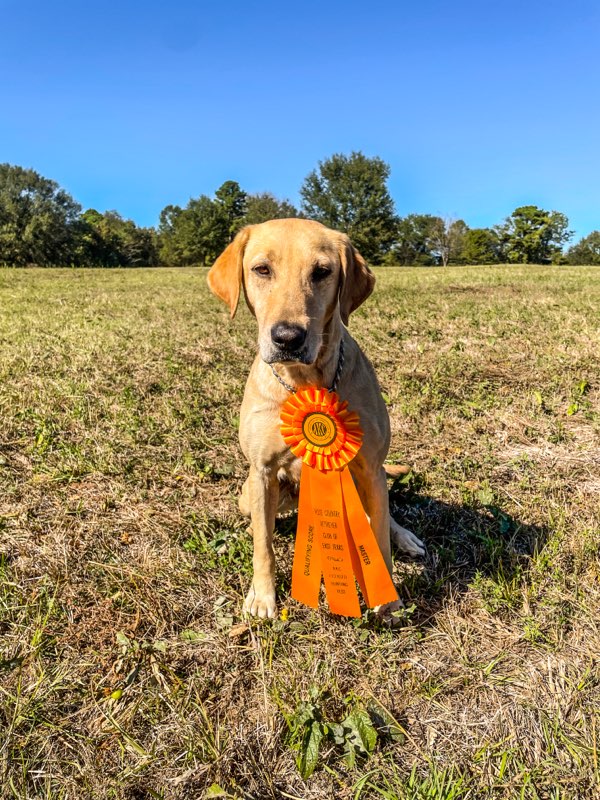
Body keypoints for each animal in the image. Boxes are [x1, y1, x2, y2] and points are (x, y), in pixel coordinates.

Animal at [209, 219, 424, 620]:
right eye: (262, 269)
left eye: (322, 272)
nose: (288, 337)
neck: (304, 381)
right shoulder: (261, 471)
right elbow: (263, 546)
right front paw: (263, 596)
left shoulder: (371, 467)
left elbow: (379, 538)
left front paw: (387, 600)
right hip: (251, 493)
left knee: (381, 517)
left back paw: (404, 536)